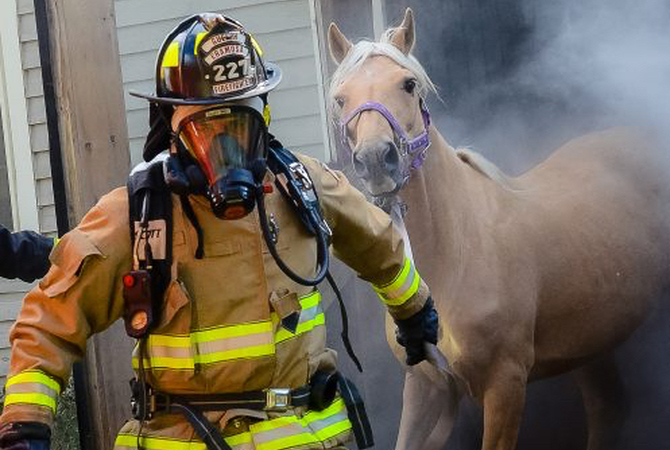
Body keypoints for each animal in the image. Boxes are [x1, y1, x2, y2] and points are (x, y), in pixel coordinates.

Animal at [326, 7, 670, 450]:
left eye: (408, 84)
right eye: (341, 97)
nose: (374, 160)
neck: (456, 253)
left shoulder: (505, 384)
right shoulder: (424, 384)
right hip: (591, 341)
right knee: (608, 408)